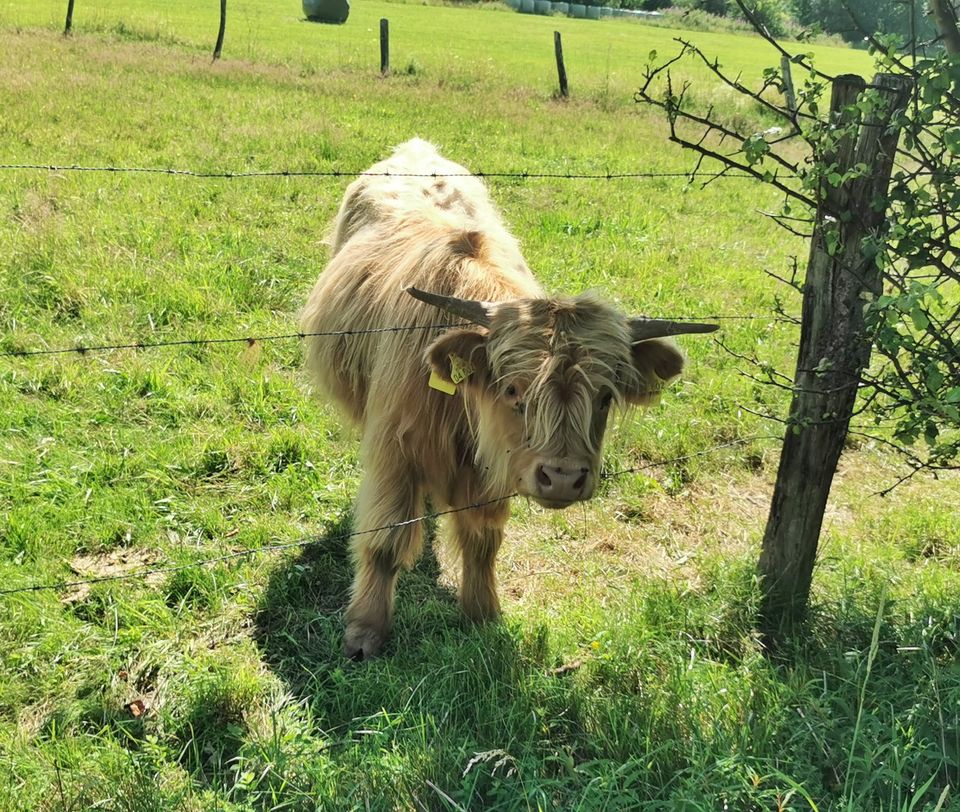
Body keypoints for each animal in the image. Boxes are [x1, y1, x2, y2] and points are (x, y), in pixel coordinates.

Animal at [304, 141, 716, 660]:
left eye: (604, 396)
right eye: (513, 390)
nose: (563, 478)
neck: (463, 413)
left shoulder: (495, 468)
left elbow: (483, 538)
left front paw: (482, 614)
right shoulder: (393, 452)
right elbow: (385, 541)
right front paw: (365, 632)